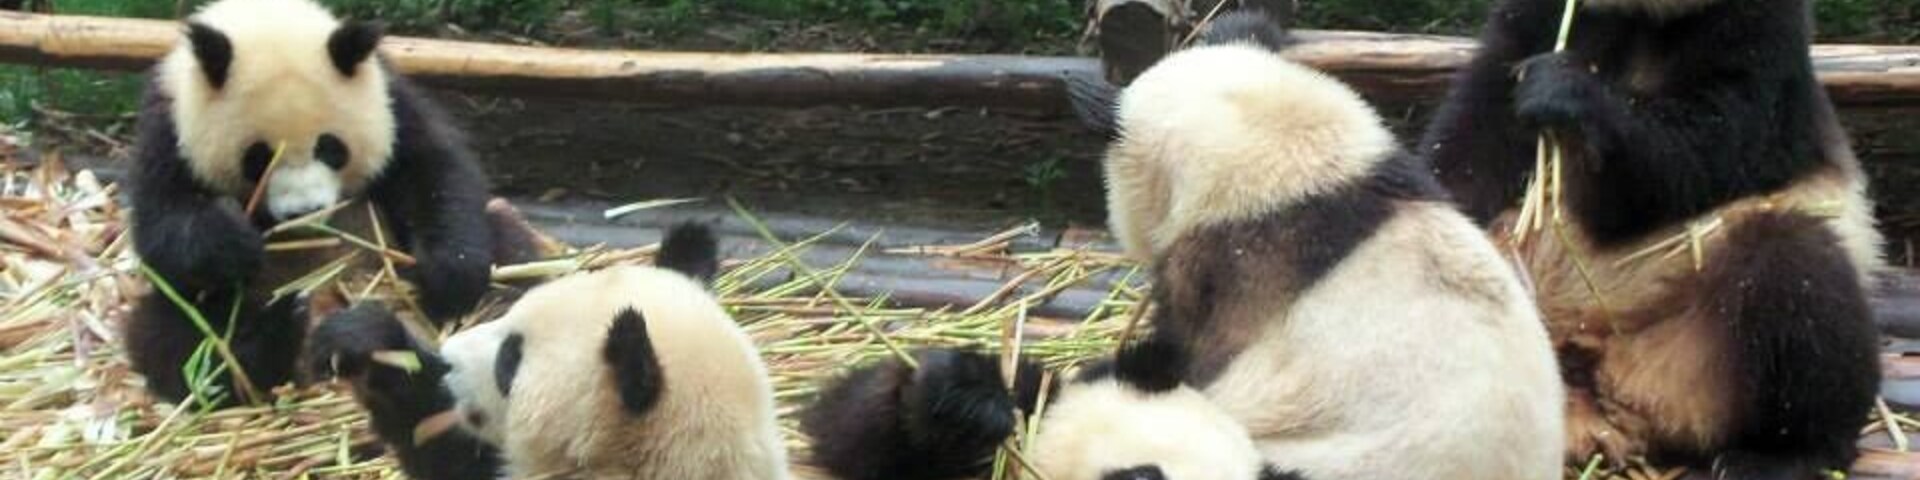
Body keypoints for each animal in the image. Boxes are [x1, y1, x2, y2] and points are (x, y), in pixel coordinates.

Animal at [124, 0, 498, 407]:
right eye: (259, 158)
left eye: (330, 147)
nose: (304, 211)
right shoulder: (167, 132)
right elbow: (165, 227)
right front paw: (231, 240)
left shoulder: (393, 104)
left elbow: (433, 173)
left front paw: (449, 272)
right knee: (178, 338)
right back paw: (283, 333)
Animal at [1417, 0, 1883, 475]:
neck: (1643, 17)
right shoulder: (1531, 19)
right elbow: (1478, 125)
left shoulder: (1763, 33)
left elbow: (1711, 142)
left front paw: (1565, 92)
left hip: (1693, 360)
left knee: (1794, 271)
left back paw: (1782, 455)